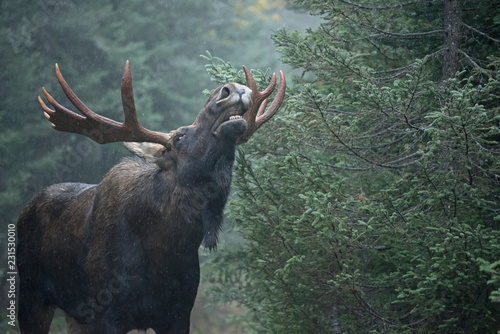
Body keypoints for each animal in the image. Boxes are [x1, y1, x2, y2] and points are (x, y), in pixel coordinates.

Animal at [17, 60, 286, 334]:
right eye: (179, 137)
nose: (231, 89)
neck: (166, 247)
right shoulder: (104, 313)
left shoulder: (178, 314)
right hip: (31, 293)